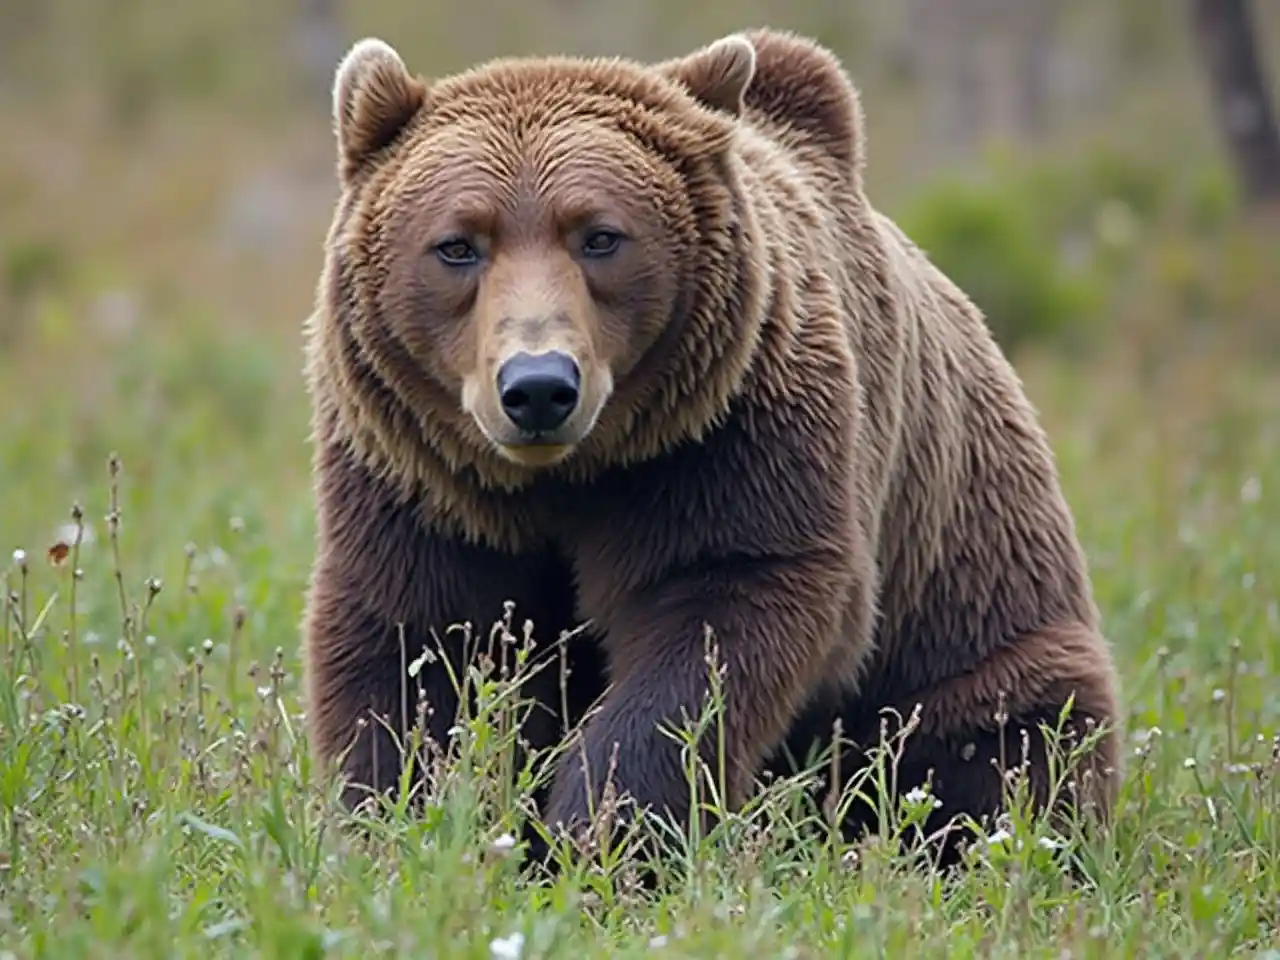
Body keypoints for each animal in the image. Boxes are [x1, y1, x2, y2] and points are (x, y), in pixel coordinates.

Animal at [299, 26, 1124, 867]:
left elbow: (713, 628)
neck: (571, 475)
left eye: (600, 236)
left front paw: (600, 834)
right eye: (458, 245)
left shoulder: (727, 443)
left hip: (968, 607)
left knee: (1000, 741)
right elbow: (414, 645)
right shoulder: (425, 476)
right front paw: (402, 824)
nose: (537, 386)